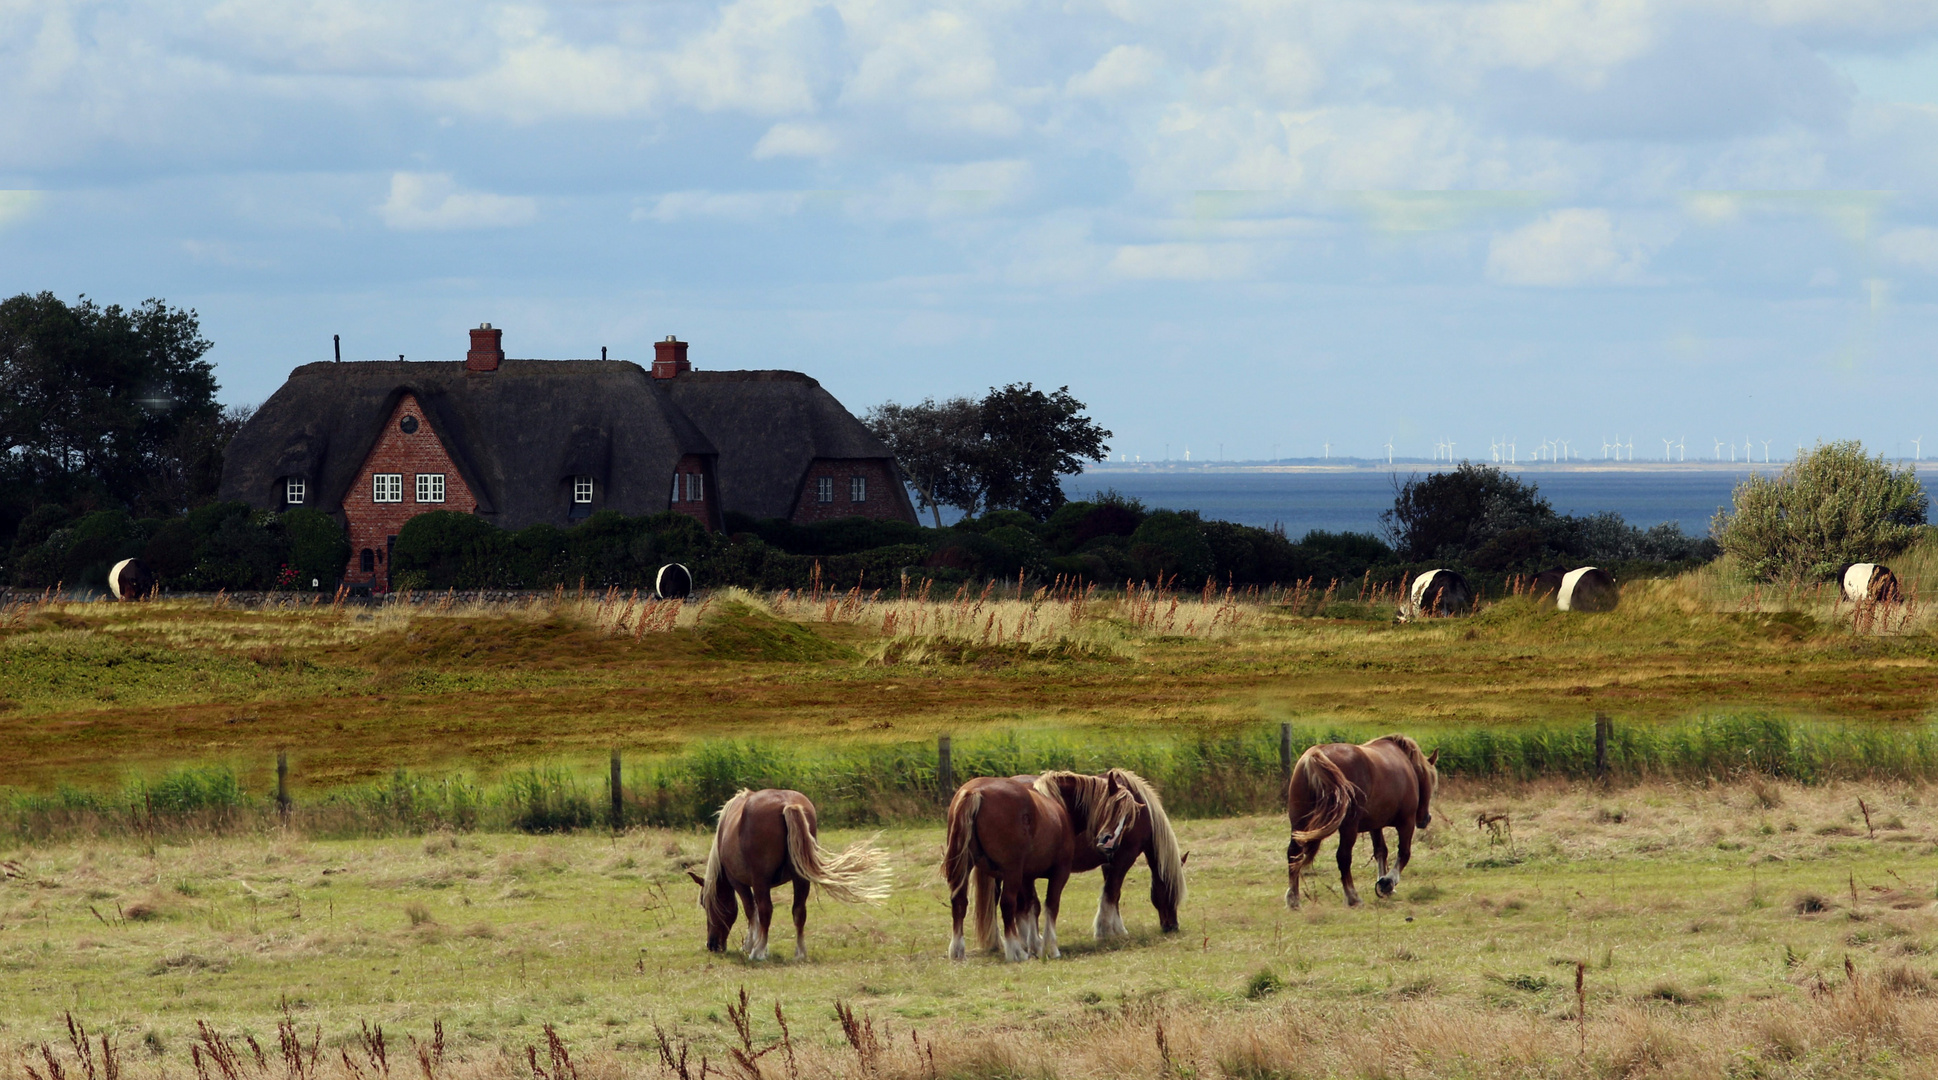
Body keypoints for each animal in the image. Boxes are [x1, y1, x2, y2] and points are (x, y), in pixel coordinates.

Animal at [686, 783, 887, 961]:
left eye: (704, 902)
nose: (712, 945)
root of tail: (787, 804)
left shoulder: (740, 883)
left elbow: (752, 911)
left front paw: (752, 945)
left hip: (761, 880)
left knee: (766, 910)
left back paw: (757, 953)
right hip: (800, 878)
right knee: (799, 911)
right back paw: (800, 953)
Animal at [945, 767, 1139, 961]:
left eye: (1128, 818)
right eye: (1113, 807)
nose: (1110, 844)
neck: (1060, 806)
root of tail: (975, 792)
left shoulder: (1027, 877)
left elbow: (1033, 907)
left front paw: (1036, 945)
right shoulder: (1059, 872)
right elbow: (1051, 905)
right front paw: (1050, 948)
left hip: (964, 867)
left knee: (959, 901)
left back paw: (958, 951)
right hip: (1011, 872)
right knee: (1007, 903)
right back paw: (1015, 951)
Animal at [1007, 767, 1186, 934]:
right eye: (1172, 890)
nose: (1173, 926)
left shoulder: (1108, 860)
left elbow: (1113, 894)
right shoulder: (1124, 857)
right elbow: (1112, 892)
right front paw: (1109, 931)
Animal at [1286, 736, 1441, 903]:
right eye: (1431, 780)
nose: (1426, 819)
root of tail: (1317, 755)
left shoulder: (1375, 825)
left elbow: (1381, 851)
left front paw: (1383, 883)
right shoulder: (1406, 822)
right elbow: (1404, 853)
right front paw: (1388, 882)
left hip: (1299, 824)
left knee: (1293, 853)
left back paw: (1293, 899)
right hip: (1349, 827)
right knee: (1343, 856)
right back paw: (1352, 897)